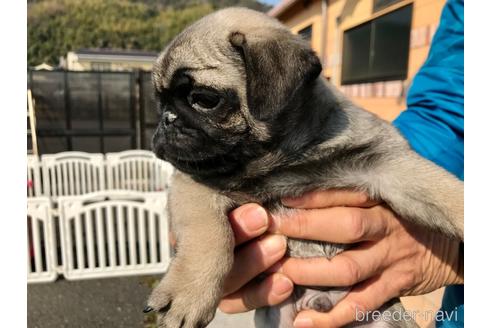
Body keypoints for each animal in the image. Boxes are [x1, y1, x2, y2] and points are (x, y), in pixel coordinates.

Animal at [146, 6, 462, 326]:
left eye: (204, 99)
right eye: (159, 102)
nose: (166, 119)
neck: (286, 155)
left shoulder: (385, 163)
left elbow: (441, 189)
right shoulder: (193, 185)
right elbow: (210, 237)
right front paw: (189, 294)